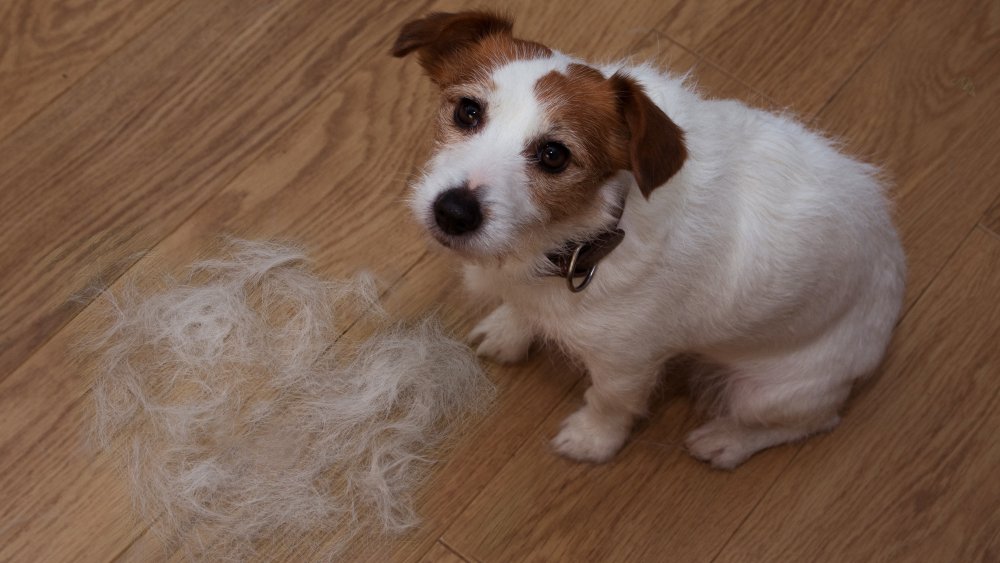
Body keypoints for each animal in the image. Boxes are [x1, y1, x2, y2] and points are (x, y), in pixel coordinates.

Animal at [390, 12, 908, 472]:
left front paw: (592, 440)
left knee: (811, 420)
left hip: (772, 390)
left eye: (554, 155)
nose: (453, 212)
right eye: (468, 111)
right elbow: (523, 310)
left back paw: (728, 440)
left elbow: (609, 402)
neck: (585, 236)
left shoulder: (627, 364)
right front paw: (509, 328)